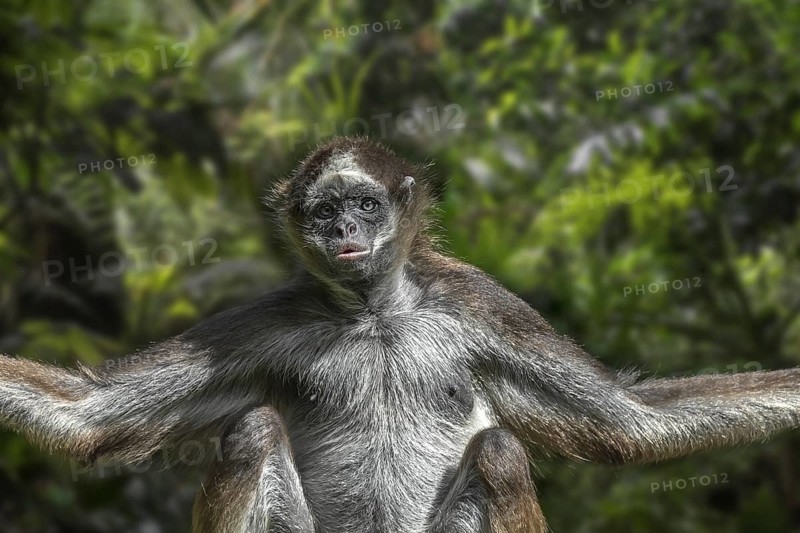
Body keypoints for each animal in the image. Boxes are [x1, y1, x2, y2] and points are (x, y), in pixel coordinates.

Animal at [2, 136, 800, 533]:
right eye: (324, 213)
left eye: (362, 204)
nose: (344, 232)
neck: (375, 316)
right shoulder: (275, 315)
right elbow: (88, 416)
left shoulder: (474, 300)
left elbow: (633, 424)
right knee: (253, 430)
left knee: (501, 450)